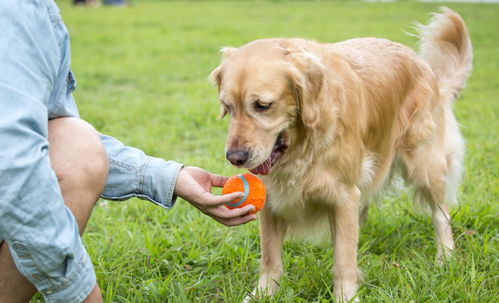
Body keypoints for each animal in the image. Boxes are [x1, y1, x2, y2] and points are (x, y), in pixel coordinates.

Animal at [210, 8, 472, 302]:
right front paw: (264, 293)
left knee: (441, 213)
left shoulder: (343, 196)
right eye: (228, 107)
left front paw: (346, 295)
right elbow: (270, 257)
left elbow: (343, 259)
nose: (235, 157)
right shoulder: (272, 197)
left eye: (263, 106)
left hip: (423, 162)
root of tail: (424, 66)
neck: (303, 148)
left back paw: (445, 257)